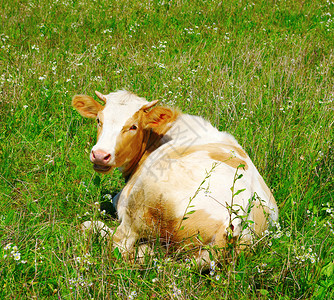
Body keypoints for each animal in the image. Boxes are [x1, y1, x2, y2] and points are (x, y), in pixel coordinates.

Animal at [73, 90, 280, 266]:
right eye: (99, 120)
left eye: (133, 126)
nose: (100, 155)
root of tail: (236, 219)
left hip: (141, 202)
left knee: (118, 243)